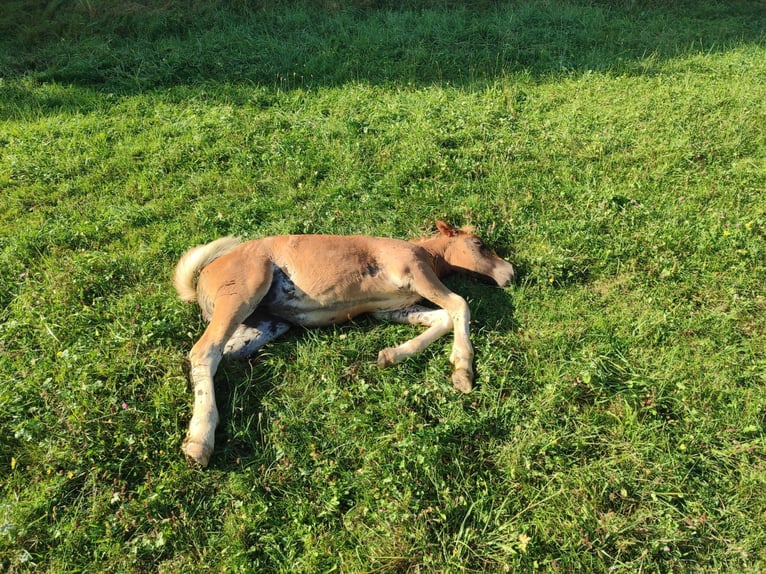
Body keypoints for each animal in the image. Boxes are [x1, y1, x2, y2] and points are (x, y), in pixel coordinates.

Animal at [176, 220, 516, 468]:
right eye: (479, 243)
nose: (510, 272)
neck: (423, 252)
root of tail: (202, 277)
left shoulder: (391, 308)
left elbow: (444, 318)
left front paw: (390, 355)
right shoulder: (417, 274)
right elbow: (459, 305)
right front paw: (463, 371)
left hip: (265, 325)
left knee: (217, 357)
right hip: (241, 294)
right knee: (204, 351)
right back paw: (199, 441)